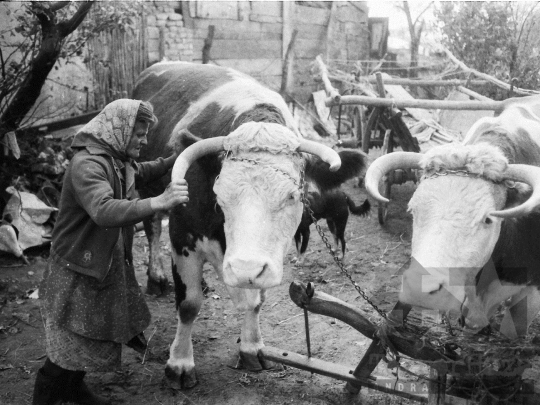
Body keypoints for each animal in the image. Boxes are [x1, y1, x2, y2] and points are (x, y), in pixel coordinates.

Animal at [132, 61, 368, 386]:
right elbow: (188, 305)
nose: (244, 269)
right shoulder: (182, 237)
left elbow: (256, 301)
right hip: (148, 190)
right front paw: (180, 364)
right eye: (219, 196)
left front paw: (252, 348)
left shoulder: (269, 258)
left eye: (293, 196)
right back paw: (156, 278)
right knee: (153, 228)